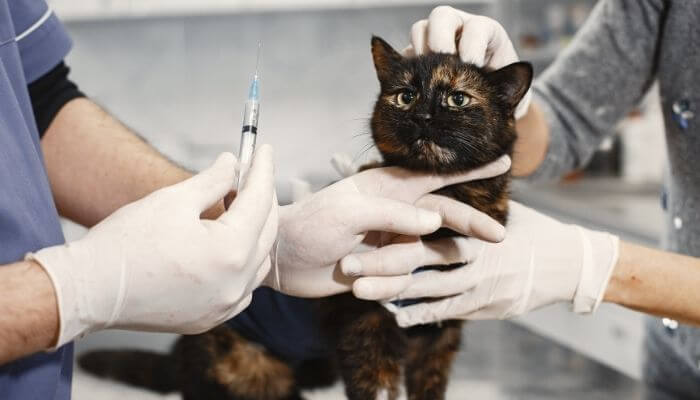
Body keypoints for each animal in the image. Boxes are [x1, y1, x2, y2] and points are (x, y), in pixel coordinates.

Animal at [76, 35, 532, 400]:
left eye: (457, 98)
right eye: (405, 96)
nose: (422, 116)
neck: (441, 199)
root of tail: (180, 357)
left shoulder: (440, 329)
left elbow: (430, 388)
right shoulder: (363, 320)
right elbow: (376, 386)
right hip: (249, 371)